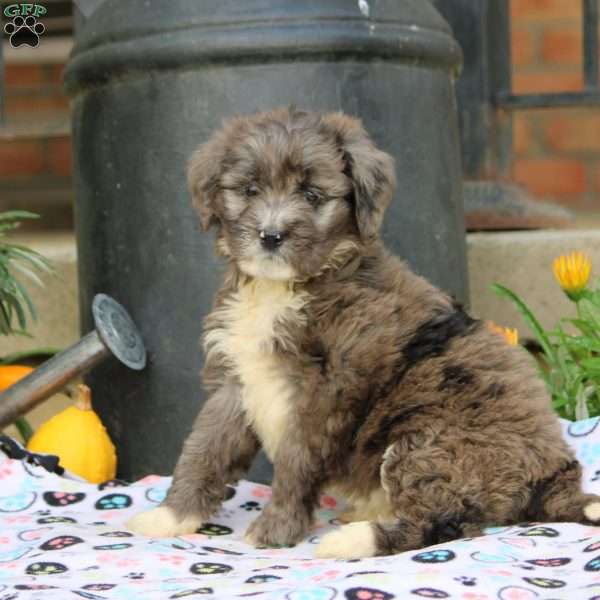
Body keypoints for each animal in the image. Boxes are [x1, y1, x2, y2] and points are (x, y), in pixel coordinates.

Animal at [126, 108, 600, 556]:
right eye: (249, 190)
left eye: (312, 195)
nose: (271, 235)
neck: (285, 287)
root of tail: (556, 473)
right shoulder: (234, 379)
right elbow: (204, 449)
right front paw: (170, 517)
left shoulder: (326, 391)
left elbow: (296, 462)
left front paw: (275, 530)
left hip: (431, 444)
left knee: (443, 522)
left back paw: (353, 540)